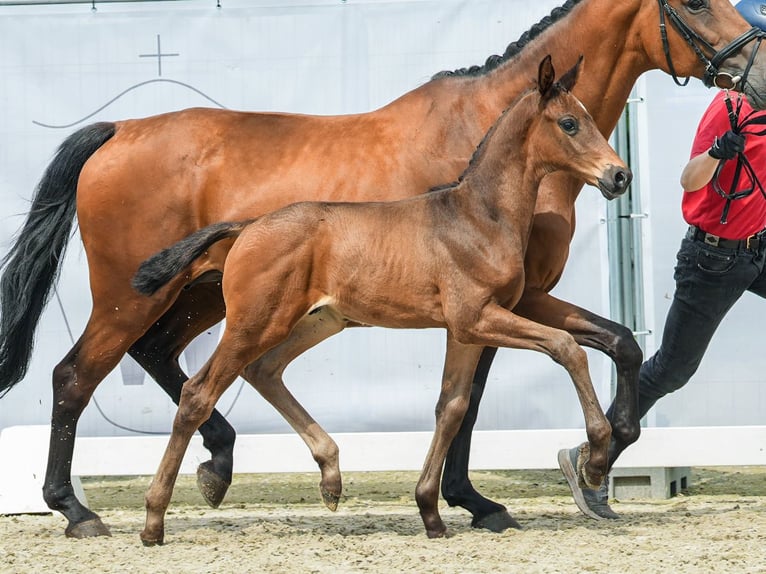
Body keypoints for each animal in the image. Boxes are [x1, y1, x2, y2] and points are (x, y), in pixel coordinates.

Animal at [134, 56, 632, 548]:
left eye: (589, 118)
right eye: (569, 123)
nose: (619, 175)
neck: (479, 217)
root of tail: (247, 226)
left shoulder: (464, 332)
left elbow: (451, 406)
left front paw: (430, 512)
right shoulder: (477, 319)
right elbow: (566, 347)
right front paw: (594, 461)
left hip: (319, 321)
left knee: (265, 370)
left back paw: (331, 478)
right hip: (254, 323)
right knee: (198, 393)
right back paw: (155, 520)